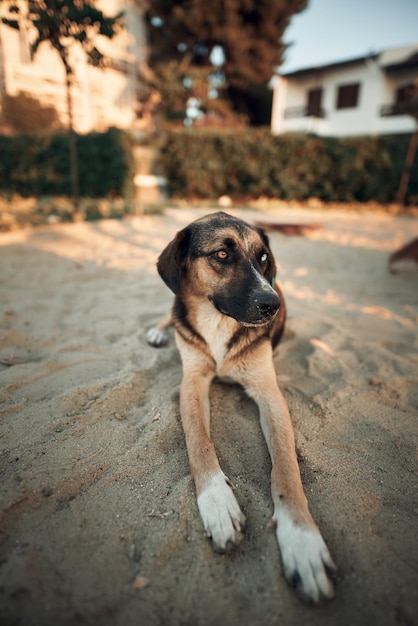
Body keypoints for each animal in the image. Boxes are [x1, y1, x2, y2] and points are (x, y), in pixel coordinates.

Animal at [147, 212, 336, 604]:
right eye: (222, 254)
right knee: (170, 312)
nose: (271, 304)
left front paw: (302, 542)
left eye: (263, 257)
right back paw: (157, 331)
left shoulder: (269, 393)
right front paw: (218, 503)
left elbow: (286, 469)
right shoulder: (192, 383)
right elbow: (199, 445)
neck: (218, 322)